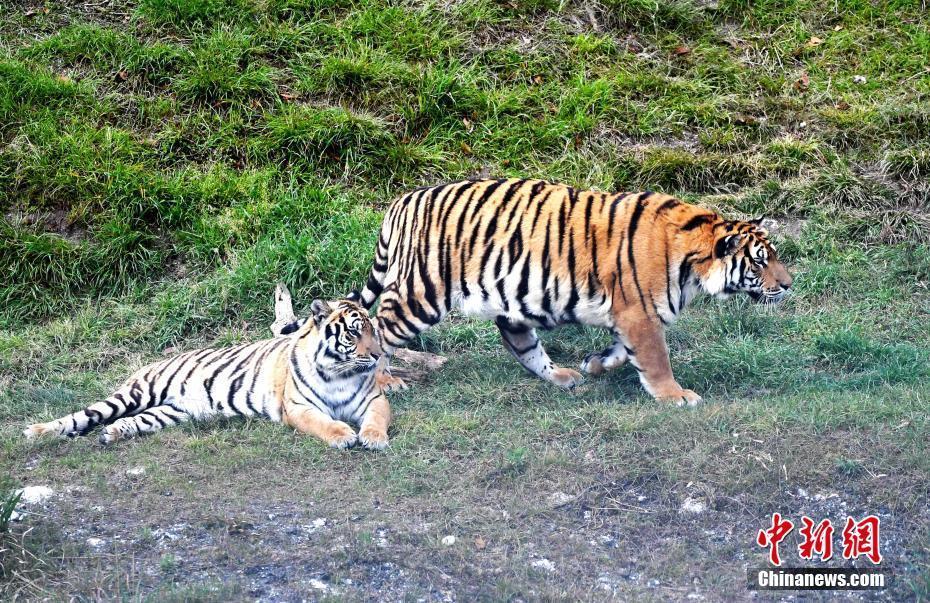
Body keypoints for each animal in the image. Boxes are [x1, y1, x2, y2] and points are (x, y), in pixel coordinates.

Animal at [21, 286, 392, 448]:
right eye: (354, 332)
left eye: (373, 330)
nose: (376, 356)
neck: (339, 372)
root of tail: (154, 361)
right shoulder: (299, 407)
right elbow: (322, 422)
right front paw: (343, 435)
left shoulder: (373, 400)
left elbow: (376, 419)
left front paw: (373, 438)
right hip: (135, 394)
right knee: (83, 415)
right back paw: (37, 432)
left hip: (170, 412)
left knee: (128, 421)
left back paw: (111, 434)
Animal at [340, 179, 792, 406]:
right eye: (759, 261)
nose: (788, 285)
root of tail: (403, 200)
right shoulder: (639, 314)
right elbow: (656, 359)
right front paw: (675, 395)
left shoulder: (626, 315)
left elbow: (620, 352)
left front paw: (595, 364)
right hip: (422, 292)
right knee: (380, 328)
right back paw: (384, 381)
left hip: (508, 300)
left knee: (522, 345)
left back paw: (562, 376)